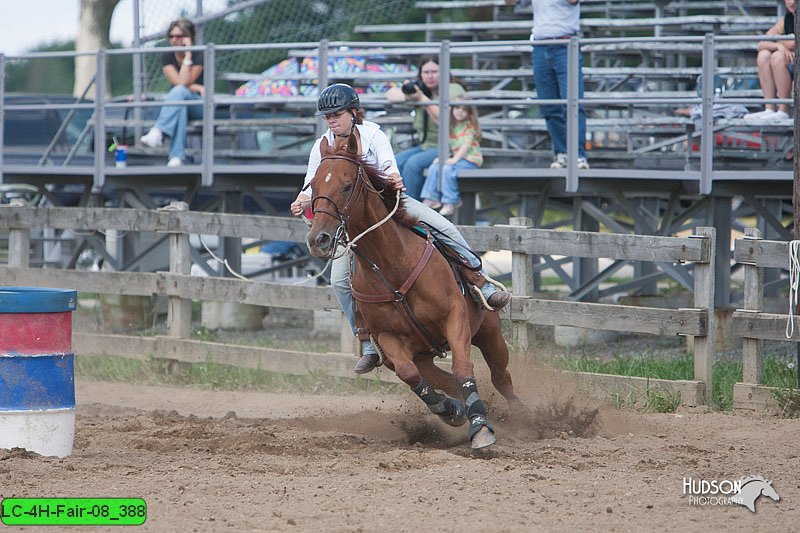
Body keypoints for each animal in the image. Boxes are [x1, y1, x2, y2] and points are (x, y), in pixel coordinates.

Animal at [304, 131, 520, 446]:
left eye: (346, 186)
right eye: (314, 185)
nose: (318, 239)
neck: (393, 267)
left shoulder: (455, 316)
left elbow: (463, 367)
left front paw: (480, 427)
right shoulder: (389, 338)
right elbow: (411, 375)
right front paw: (452, 411)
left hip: (489, 332)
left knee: (500, 377)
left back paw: (523, 415)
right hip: (424, 355)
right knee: (444, 379)